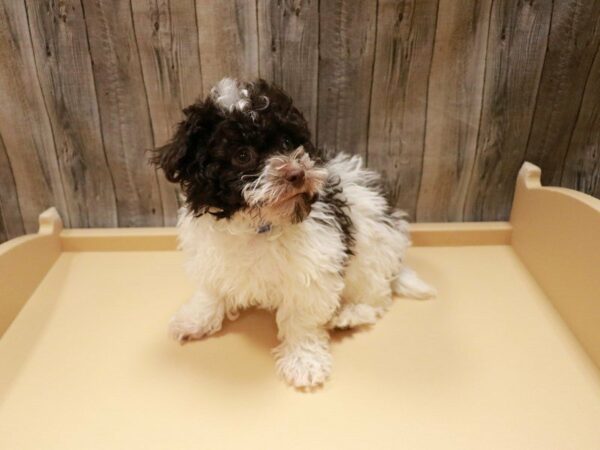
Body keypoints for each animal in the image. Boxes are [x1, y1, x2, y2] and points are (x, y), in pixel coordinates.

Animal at [149, 77, 432, 386]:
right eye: (242, 155)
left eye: (287, 142)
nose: (297, 174)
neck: (258, 225)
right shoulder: (211, 257)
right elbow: (211, 291)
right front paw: (193, 320)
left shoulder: (312, 270)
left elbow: (301, 319)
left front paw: (304, 361)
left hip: (372, 250)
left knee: (377, 296)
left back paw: (351, 314)